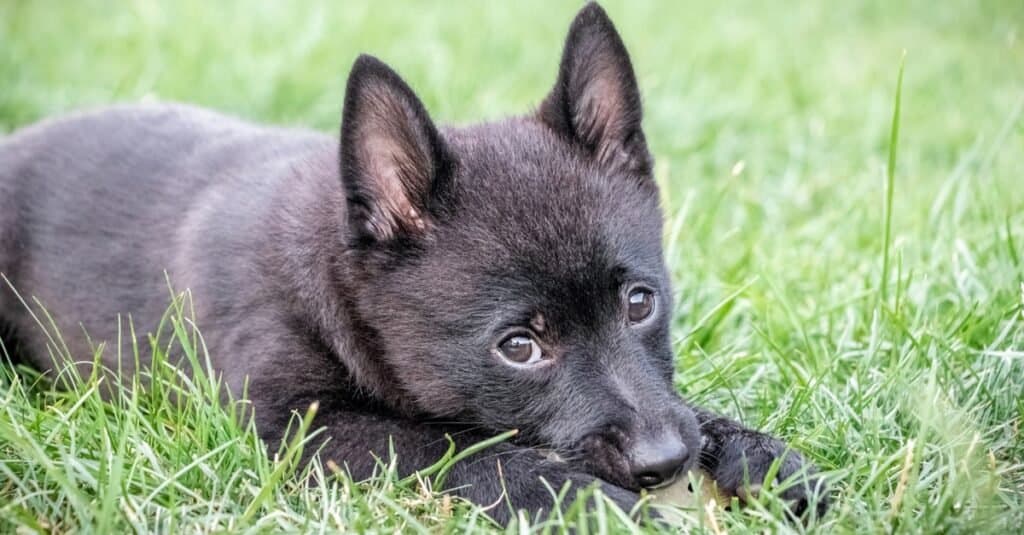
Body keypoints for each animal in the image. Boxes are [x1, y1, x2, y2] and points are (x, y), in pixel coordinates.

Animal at [0, 2, 827, 522]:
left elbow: (699, 409)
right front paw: (593, 505)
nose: (666, 460)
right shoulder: (294, 424)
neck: (332, 280)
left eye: (639, 303)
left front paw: (766, 460)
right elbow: (456, 447)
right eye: (519, 346)